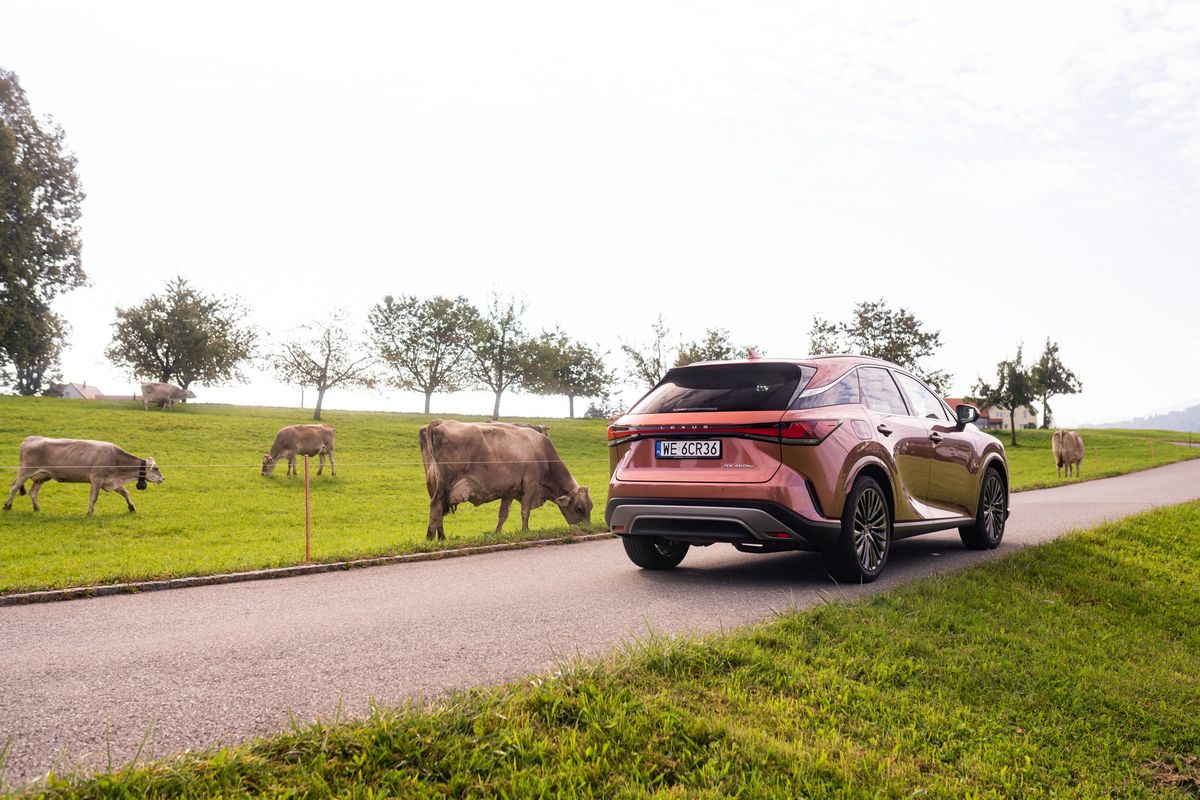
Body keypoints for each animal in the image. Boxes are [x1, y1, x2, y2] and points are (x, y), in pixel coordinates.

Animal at [2, 438, 164, 513]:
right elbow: (94, 498)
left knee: (33, 492)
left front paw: (132, 507)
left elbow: (125, 492)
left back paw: (37, 508)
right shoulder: (96, 479)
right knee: (14, 487)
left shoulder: (110, 481)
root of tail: (30, 438)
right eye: (156, 468)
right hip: (25, 471)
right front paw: (90, 512)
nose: (163, 478)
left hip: (41, 476)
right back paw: (7, 506)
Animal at [420, 417, 592, 542]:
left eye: (591, 507)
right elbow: (525, 511)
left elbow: (503, 514)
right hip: (444, 485)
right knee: (436, 507)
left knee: (439, 510)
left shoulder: (509, 490)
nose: (588, 530)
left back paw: (442, 538)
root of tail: (439, 421)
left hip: (434, 484)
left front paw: (496, 534)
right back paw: (430, 539)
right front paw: (525, 531)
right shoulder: (530, 484)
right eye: (579, 508)